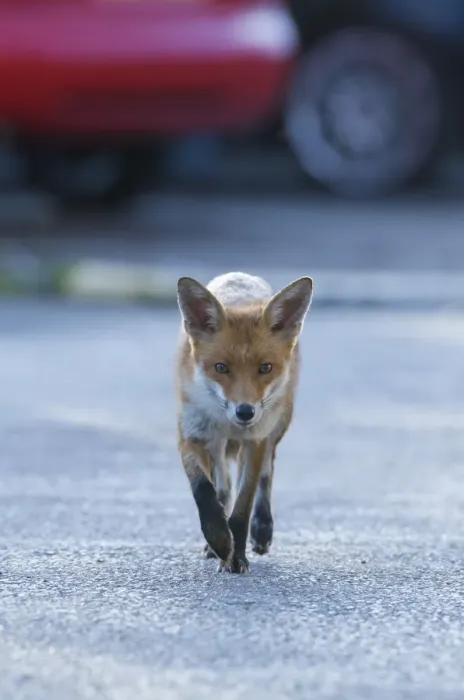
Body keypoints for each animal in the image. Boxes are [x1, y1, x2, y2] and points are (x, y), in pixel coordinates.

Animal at [175, 271, 313, 574]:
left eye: (265, 368)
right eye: (220, 368)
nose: (245, 412)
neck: (225, 420)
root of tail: (241, 276)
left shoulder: (255, 440)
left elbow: (242, 508)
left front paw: (236, 556)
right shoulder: (190, 435)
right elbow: (204, 490)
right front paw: (218, 539)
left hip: (276, 427)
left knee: (266, 474)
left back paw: (262, 529)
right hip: (216, 445)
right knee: (223, 486)